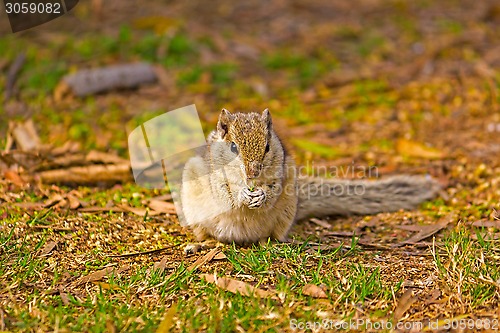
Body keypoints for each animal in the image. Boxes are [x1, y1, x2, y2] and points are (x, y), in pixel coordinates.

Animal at [180, 107, 438, 243]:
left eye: (267, 147)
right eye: (233, 147)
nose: (253, 172)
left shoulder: (282, 174)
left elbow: (272, 191)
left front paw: (261, 195)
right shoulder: (211, 176)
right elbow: (224, 194)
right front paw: (243, 194)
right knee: (204, 233)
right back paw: (202, 244)